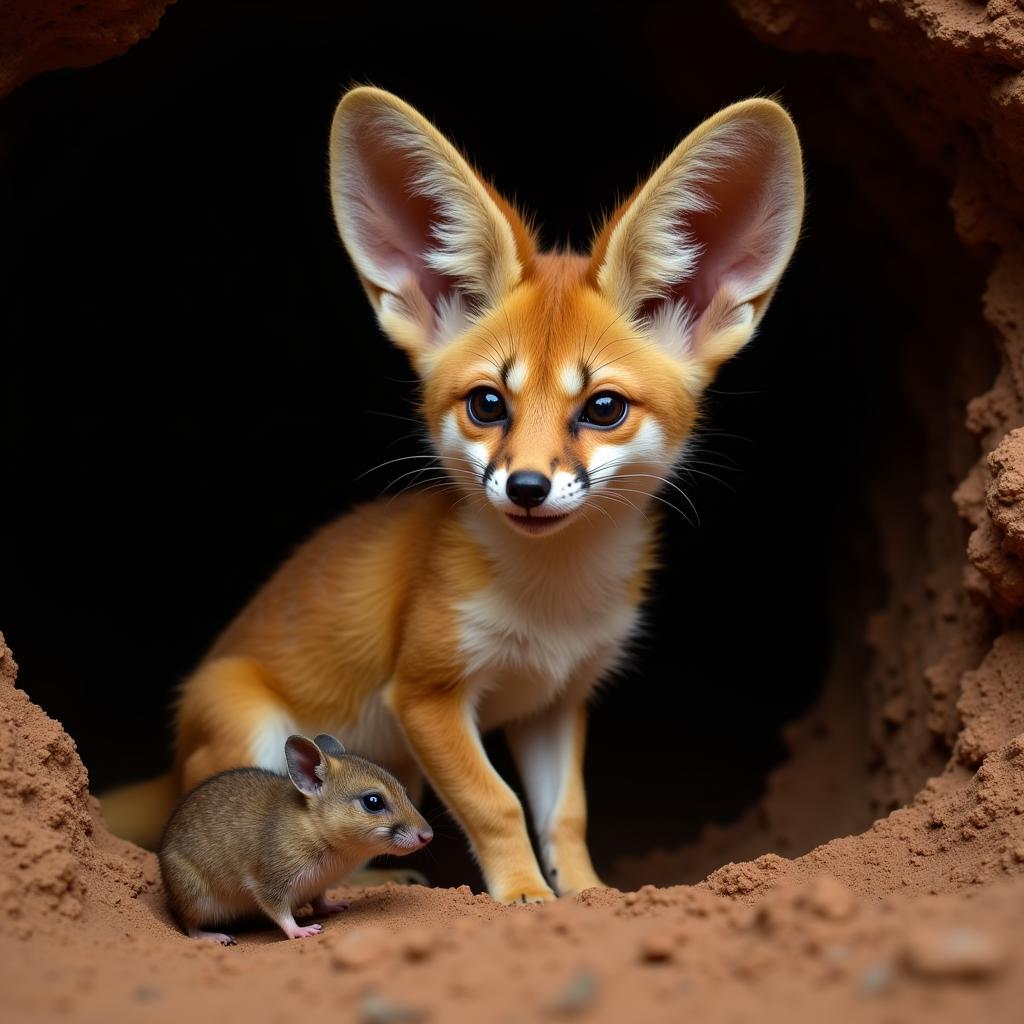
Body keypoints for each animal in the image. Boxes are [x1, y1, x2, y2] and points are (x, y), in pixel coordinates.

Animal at [105, 88, 806, 905]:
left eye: (603, 408)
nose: (527, 485)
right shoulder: (426, 692)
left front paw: (587, 892)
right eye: (487, 404)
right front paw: (525, 894)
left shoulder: (556, 702)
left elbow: (564, 814)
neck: (553, 603)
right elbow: (495, 804)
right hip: (266, 732)